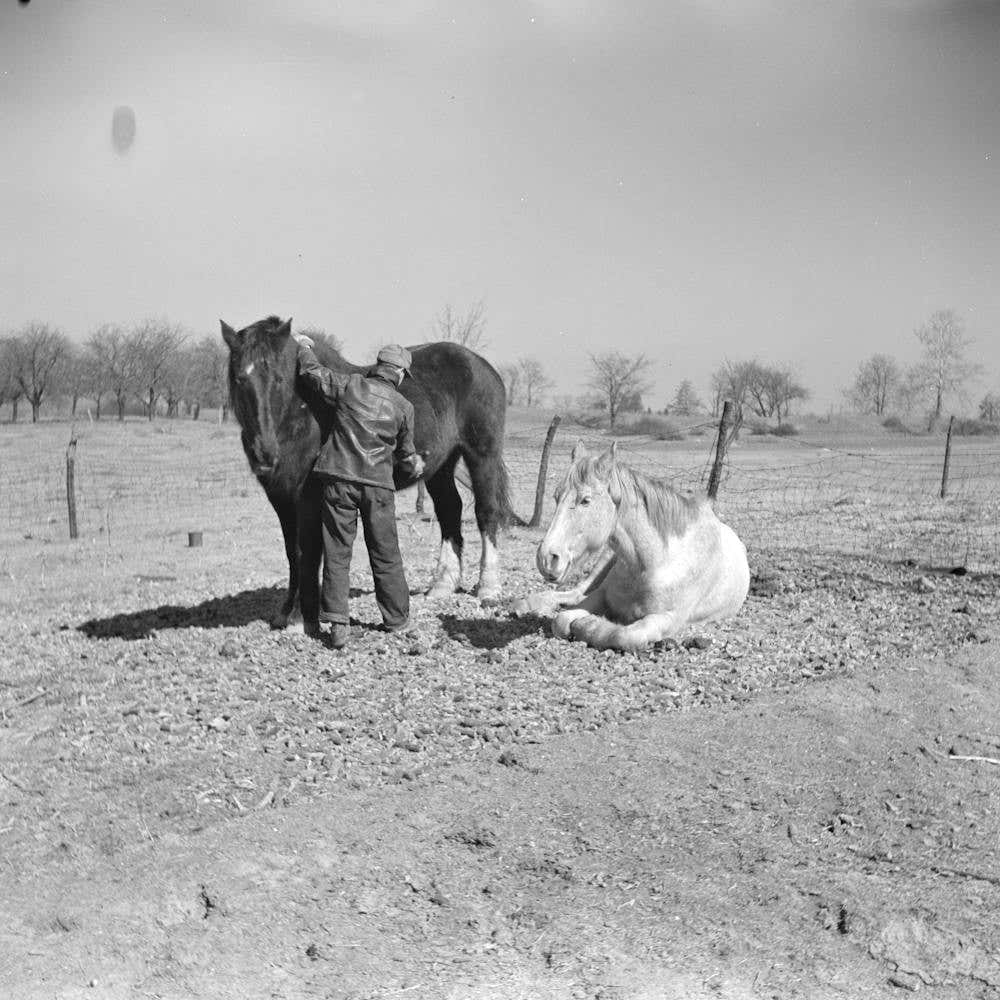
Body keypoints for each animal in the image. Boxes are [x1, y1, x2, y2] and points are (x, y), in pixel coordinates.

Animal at [221, 315, 515, 628]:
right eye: (239, 379)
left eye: (278, 379)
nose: (264, 454)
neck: (301, 413)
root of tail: (481, 365)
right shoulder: (281, 499)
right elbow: (292, 552)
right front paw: (285, 613)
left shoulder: (308, 497)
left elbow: (307, 550)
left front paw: (301, 619)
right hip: (441, 466)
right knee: (450, 510)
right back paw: (441, 586)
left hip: (481, 455)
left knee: (486, 512)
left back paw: (488, 587)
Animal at [516, 441, 749, 651]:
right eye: (556, 497)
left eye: (585, 500)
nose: (546, 558)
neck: (655, 562)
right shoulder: (601, 596)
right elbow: (561, 620)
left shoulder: (669, 617)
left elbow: (622, 635)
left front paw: (591, 624)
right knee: (576, 592)